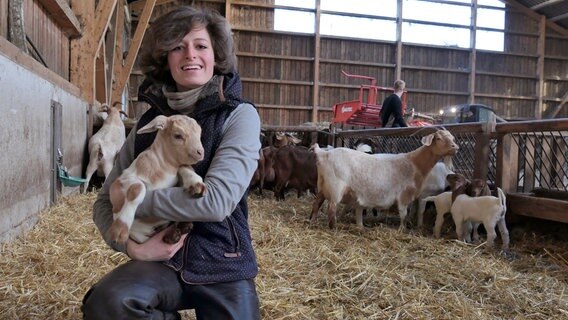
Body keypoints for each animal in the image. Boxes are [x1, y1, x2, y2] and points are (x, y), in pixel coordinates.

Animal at [107, 115, 205, 245]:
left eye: (199, 133)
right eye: (178, 135)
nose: (200, 152)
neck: (165, 168)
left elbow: (185, 167)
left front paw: (196, 184)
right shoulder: (123, 179)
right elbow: (137, 188)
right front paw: (119, 230)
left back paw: (179, 231)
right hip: (140, 236)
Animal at [308, 130, 460, 230]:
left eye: (452, 138)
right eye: (438, 138)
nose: (455, 148)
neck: (414, 163)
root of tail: (323, 154)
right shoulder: (404, 196)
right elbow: (404, 215)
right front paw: (402, 230)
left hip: (322, 186)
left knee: (316, 204)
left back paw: (313, 221)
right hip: (335, 189)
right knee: (331, 209)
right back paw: (333, 228)